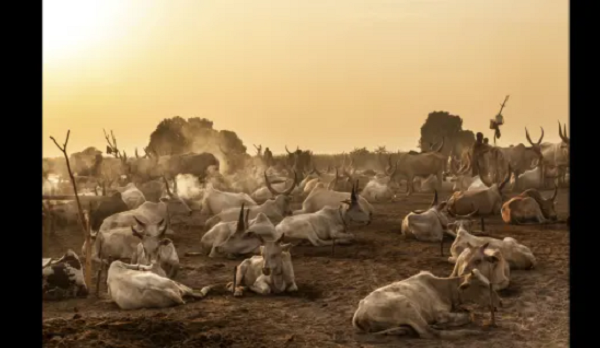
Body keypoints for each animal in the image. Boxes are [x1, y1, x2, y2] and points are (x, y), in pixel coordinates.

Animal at [352, 268, 502, 338]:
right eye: (482, 285)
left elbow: (469, 312)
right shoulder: (440, 313)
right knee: (429, 333)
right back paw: (472, 332)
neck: (442, 289)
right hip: (407, 306)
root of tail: (359, 314)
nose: (500, 303)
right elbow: (469, 316)